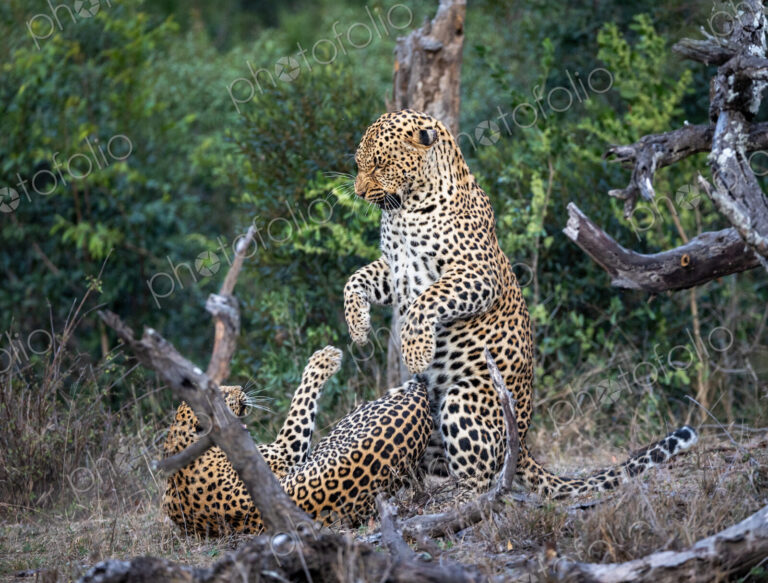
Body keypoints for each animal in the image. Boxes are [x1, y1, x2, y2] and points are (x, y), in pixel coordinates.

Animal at [344, 109, 698, 498]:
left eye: (379, 164)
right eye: (359, 164)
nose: (359, 192)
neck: (405, 208)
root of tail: (525, 444)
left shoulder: (478, 274)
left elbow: (427, 301)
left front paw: (417, 351)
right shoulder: (395, 270)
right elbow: (355, 279)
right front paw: (358, 327)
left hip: (463, 400)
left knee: (482, 475)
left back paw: (459, 496)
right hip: (411, 398)